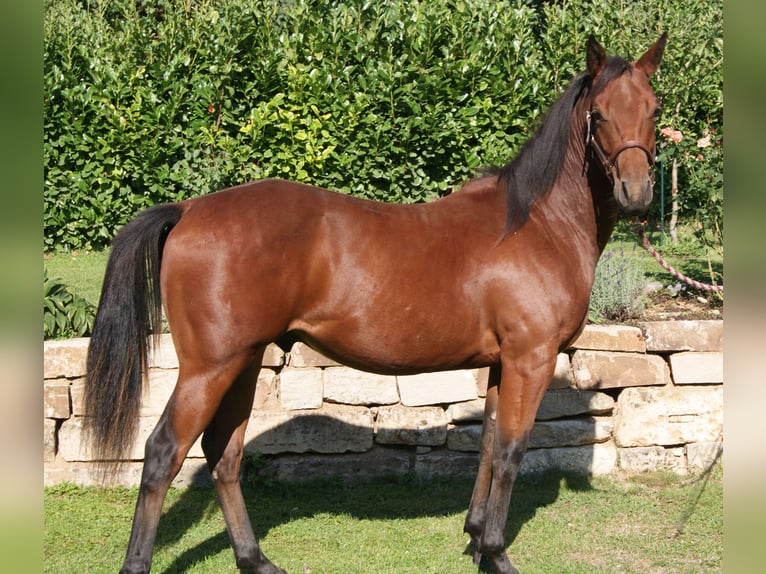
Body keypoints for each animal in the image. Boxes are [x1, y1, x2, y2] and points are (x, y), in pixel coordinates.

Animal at [85, 33, 664, 572]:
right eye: (598, 113)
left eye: (654, 109)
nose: (636, 193)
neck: (537, 224)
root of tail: (187, 209)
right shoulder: (531, 358)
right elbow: (511, 450)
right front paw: (497, 553)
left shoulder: (503, 363)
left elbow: (487, 443)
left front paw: (477, 536)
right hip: (209, 369)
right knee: (163, 453)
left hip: (242, 362)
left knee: (223, 455)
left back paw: (255, 558)